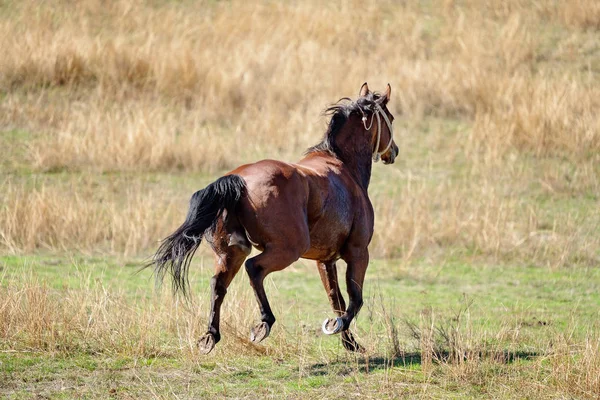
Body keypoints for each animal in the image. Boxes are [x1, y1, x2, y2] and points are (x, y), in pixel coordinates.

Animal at [149, 83, 398, 354]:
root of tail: (238, 180)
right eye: (391, 117)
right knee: (253, 268)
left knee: (218, 283)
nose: (394, 151)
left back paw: (210, 337)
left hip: (232, 252)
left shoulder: (325, 260)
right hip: (287, 250)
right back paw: (263, 323)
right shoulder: (358, 252)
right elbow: (354, 299)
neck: (343, 166)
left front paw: (350, 342)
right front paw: (336, 327)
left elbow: (336, 298)